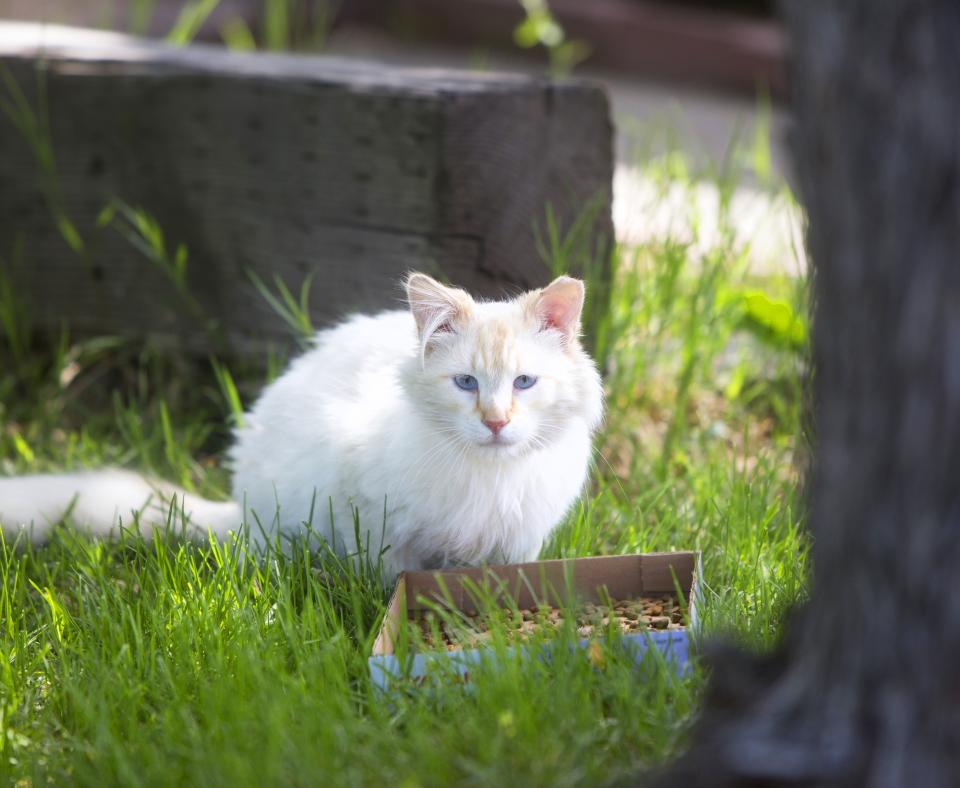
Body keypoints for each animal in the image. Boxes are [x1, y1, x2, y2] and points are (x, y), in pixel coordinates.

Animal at [0, 274, 600, 576]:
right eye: (466, 383)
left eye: (524, 383)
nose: (496, 423)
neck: (488, 478)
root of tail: (238, 508)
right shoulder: (380, 530)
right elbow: (389, 582)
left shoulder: (519, 544)